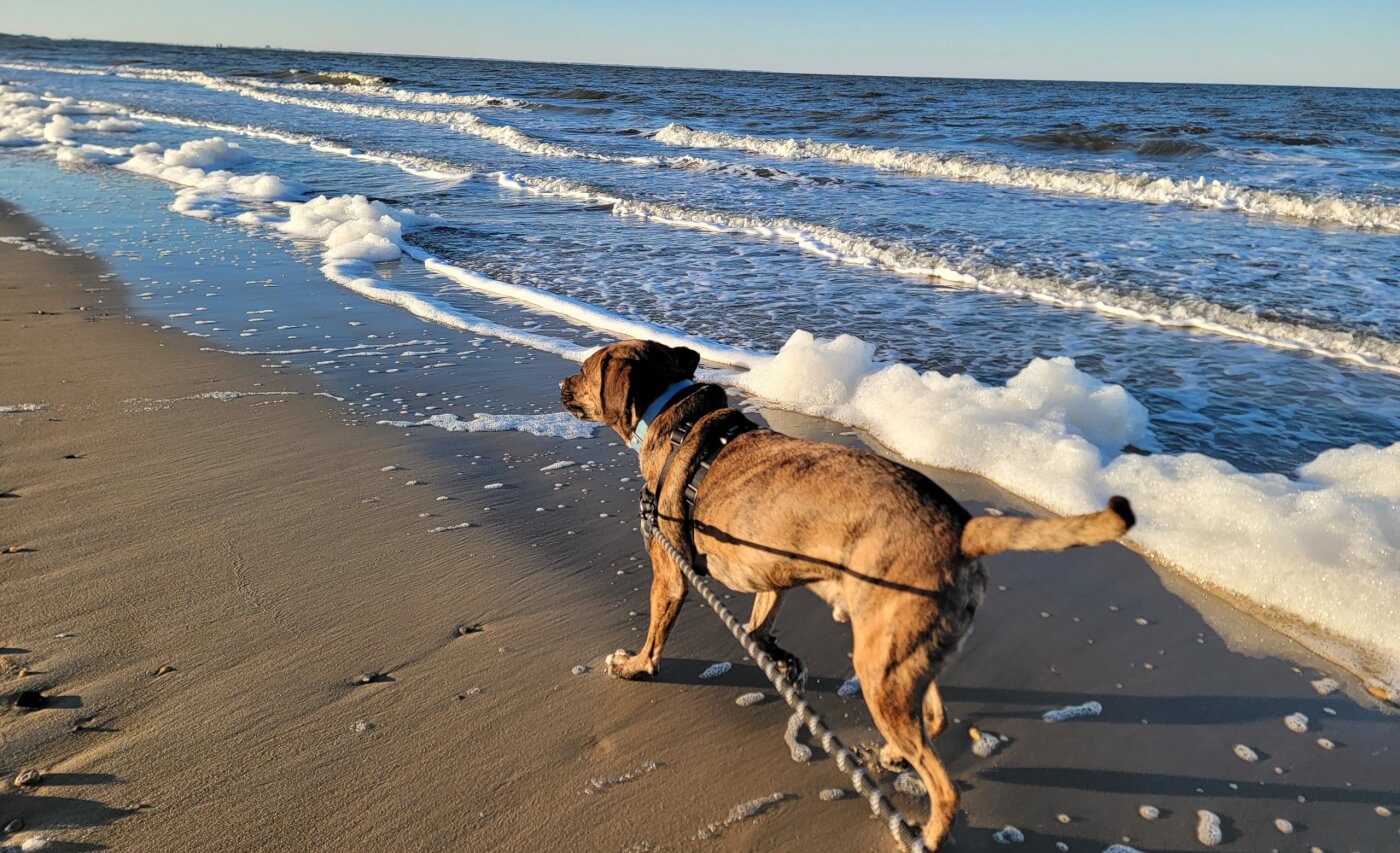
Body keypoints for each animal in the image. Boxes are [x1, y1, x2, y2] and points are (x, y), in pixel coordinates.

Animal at [560, 337, 1136, 845]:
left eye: (586, 371)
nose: (562, 383)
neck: (674, 418)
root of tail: (962, 531)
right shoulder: (770, 572)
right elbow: (761, 620)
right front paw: (774, 655)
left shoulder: (671, 569)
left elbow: (657, 629)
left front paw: (636, 665)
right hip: (907, 654)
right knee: (934, 715)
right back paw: (896, 755)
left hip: (881, 663)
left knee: (944, 786)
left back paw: (925, 833)